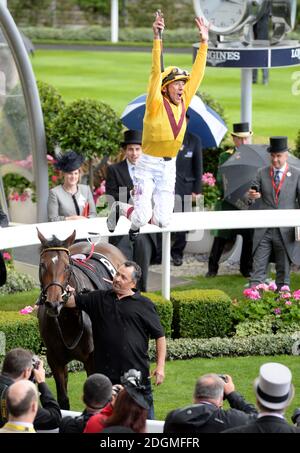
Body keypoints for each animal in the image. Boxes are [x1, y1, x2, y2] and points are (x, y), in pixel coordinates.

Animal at [36, 228, 125, 408]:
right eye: (43, 265)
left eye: (66, 266)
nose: (53, 303)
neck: (68, 319)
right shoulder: (54, 359)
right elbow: (63, 399)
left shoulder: (92, 359)